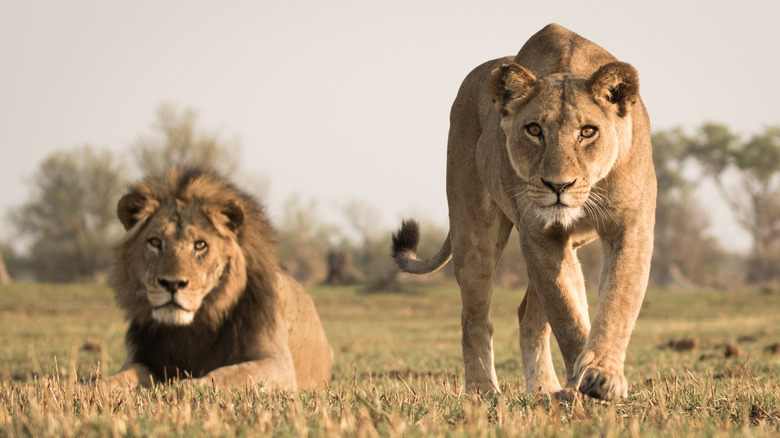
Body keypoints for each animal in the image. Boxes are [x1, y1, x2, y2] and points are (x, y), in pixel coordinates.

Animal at [103, 168, 332, 390]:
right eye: (155, 242)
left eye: (200, 245)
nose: (172, 284)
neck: (192, 328)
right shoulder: (144, 357)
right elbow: (123, 375)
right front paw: (96, 385)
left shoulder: (278, 364)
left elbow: (229, 374)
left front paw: (184, 387)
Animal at [394, 24, 656, 400]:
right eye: (534, 130)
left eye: (587, 131)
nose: (558, 185)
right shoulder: (539, 235)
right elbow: (566, 314)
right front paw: (584, 379)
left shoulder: (630, 227)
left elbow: (618, 300)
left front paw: (600, 375)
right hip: (473, 231)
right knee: (475, 317)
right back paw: (483, 391)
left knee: (529, 315)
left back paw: (545, 388)